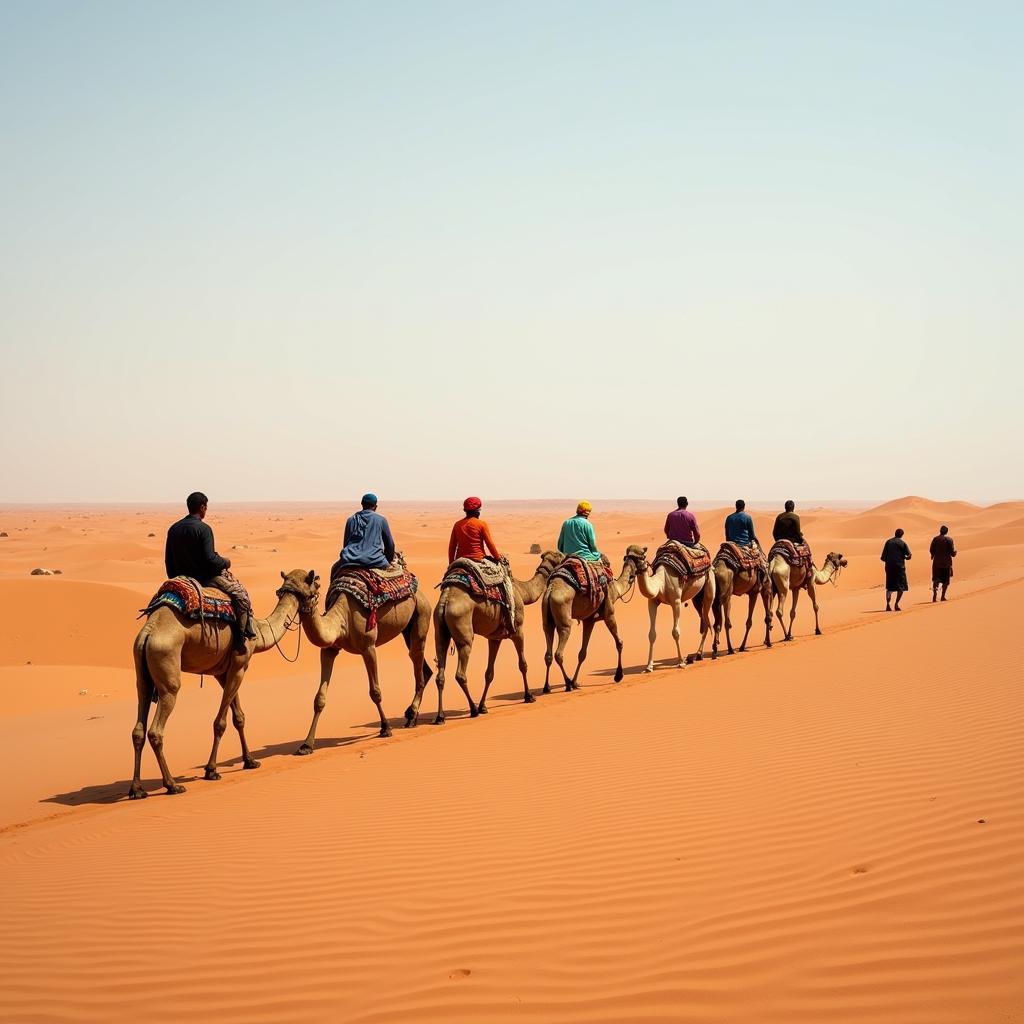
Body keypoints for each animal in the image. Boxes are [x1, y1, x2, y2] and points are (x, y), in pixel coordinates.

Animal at [130, 569, 317, 798]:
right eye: (315, 584)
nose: (318, 597)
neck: (259, 630)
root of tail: (148, 632)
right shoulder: (240, 665)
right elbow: (220, 722)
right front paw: (211, 770)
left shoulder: (224, 672)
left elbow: (239, 718)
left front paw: (250, 761)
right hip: (167, 668)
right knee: (157, 728)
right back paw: (172, 784)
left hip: (143, 673)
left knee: (138, 727)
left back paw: (137, 789)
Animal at [296, 573, 432, 749]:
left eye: (309, 591)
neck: (343, 618)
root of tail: (423, 595)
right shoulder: (329, 650)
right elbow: (319, 698)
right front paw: (306, 744)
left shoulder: (368, 647)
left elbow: (375, 692)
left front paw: (385, 728)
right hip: (407, 629)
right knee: (425, 669)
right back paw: (412, 718)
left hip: (421, 613)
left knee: (417, 663)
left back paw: (411, 714)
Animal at [430, 552, 565, 720]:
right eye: (559, 556)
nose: (567, 556)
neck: (521, 591)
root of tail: (446, 600)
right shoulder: (518, 630)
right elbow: (523, 664)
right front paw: (529, 696)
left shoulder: (494, 638)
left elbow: (489, 673)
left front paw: (483, 706)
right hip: (463, 629)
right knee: (460, 673)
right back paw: (473, 709)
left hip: (439, 631)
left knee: (440, 673)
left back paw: (440, 716)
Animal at [540, 544, 643, 696]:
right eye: (644, 555)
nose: (648, 565)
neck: (617, 589)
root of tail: (550, 590)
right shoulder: (609, 613)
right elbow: (619, 643)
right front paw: (618, 675)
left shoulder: (589, 620)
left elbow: (582, 654)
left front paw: (576, 682)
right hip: (564, 618)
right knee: (559, 652)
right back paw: (567, 683)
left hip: (547, 621)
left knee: (548, 654)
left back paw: (547, 687)